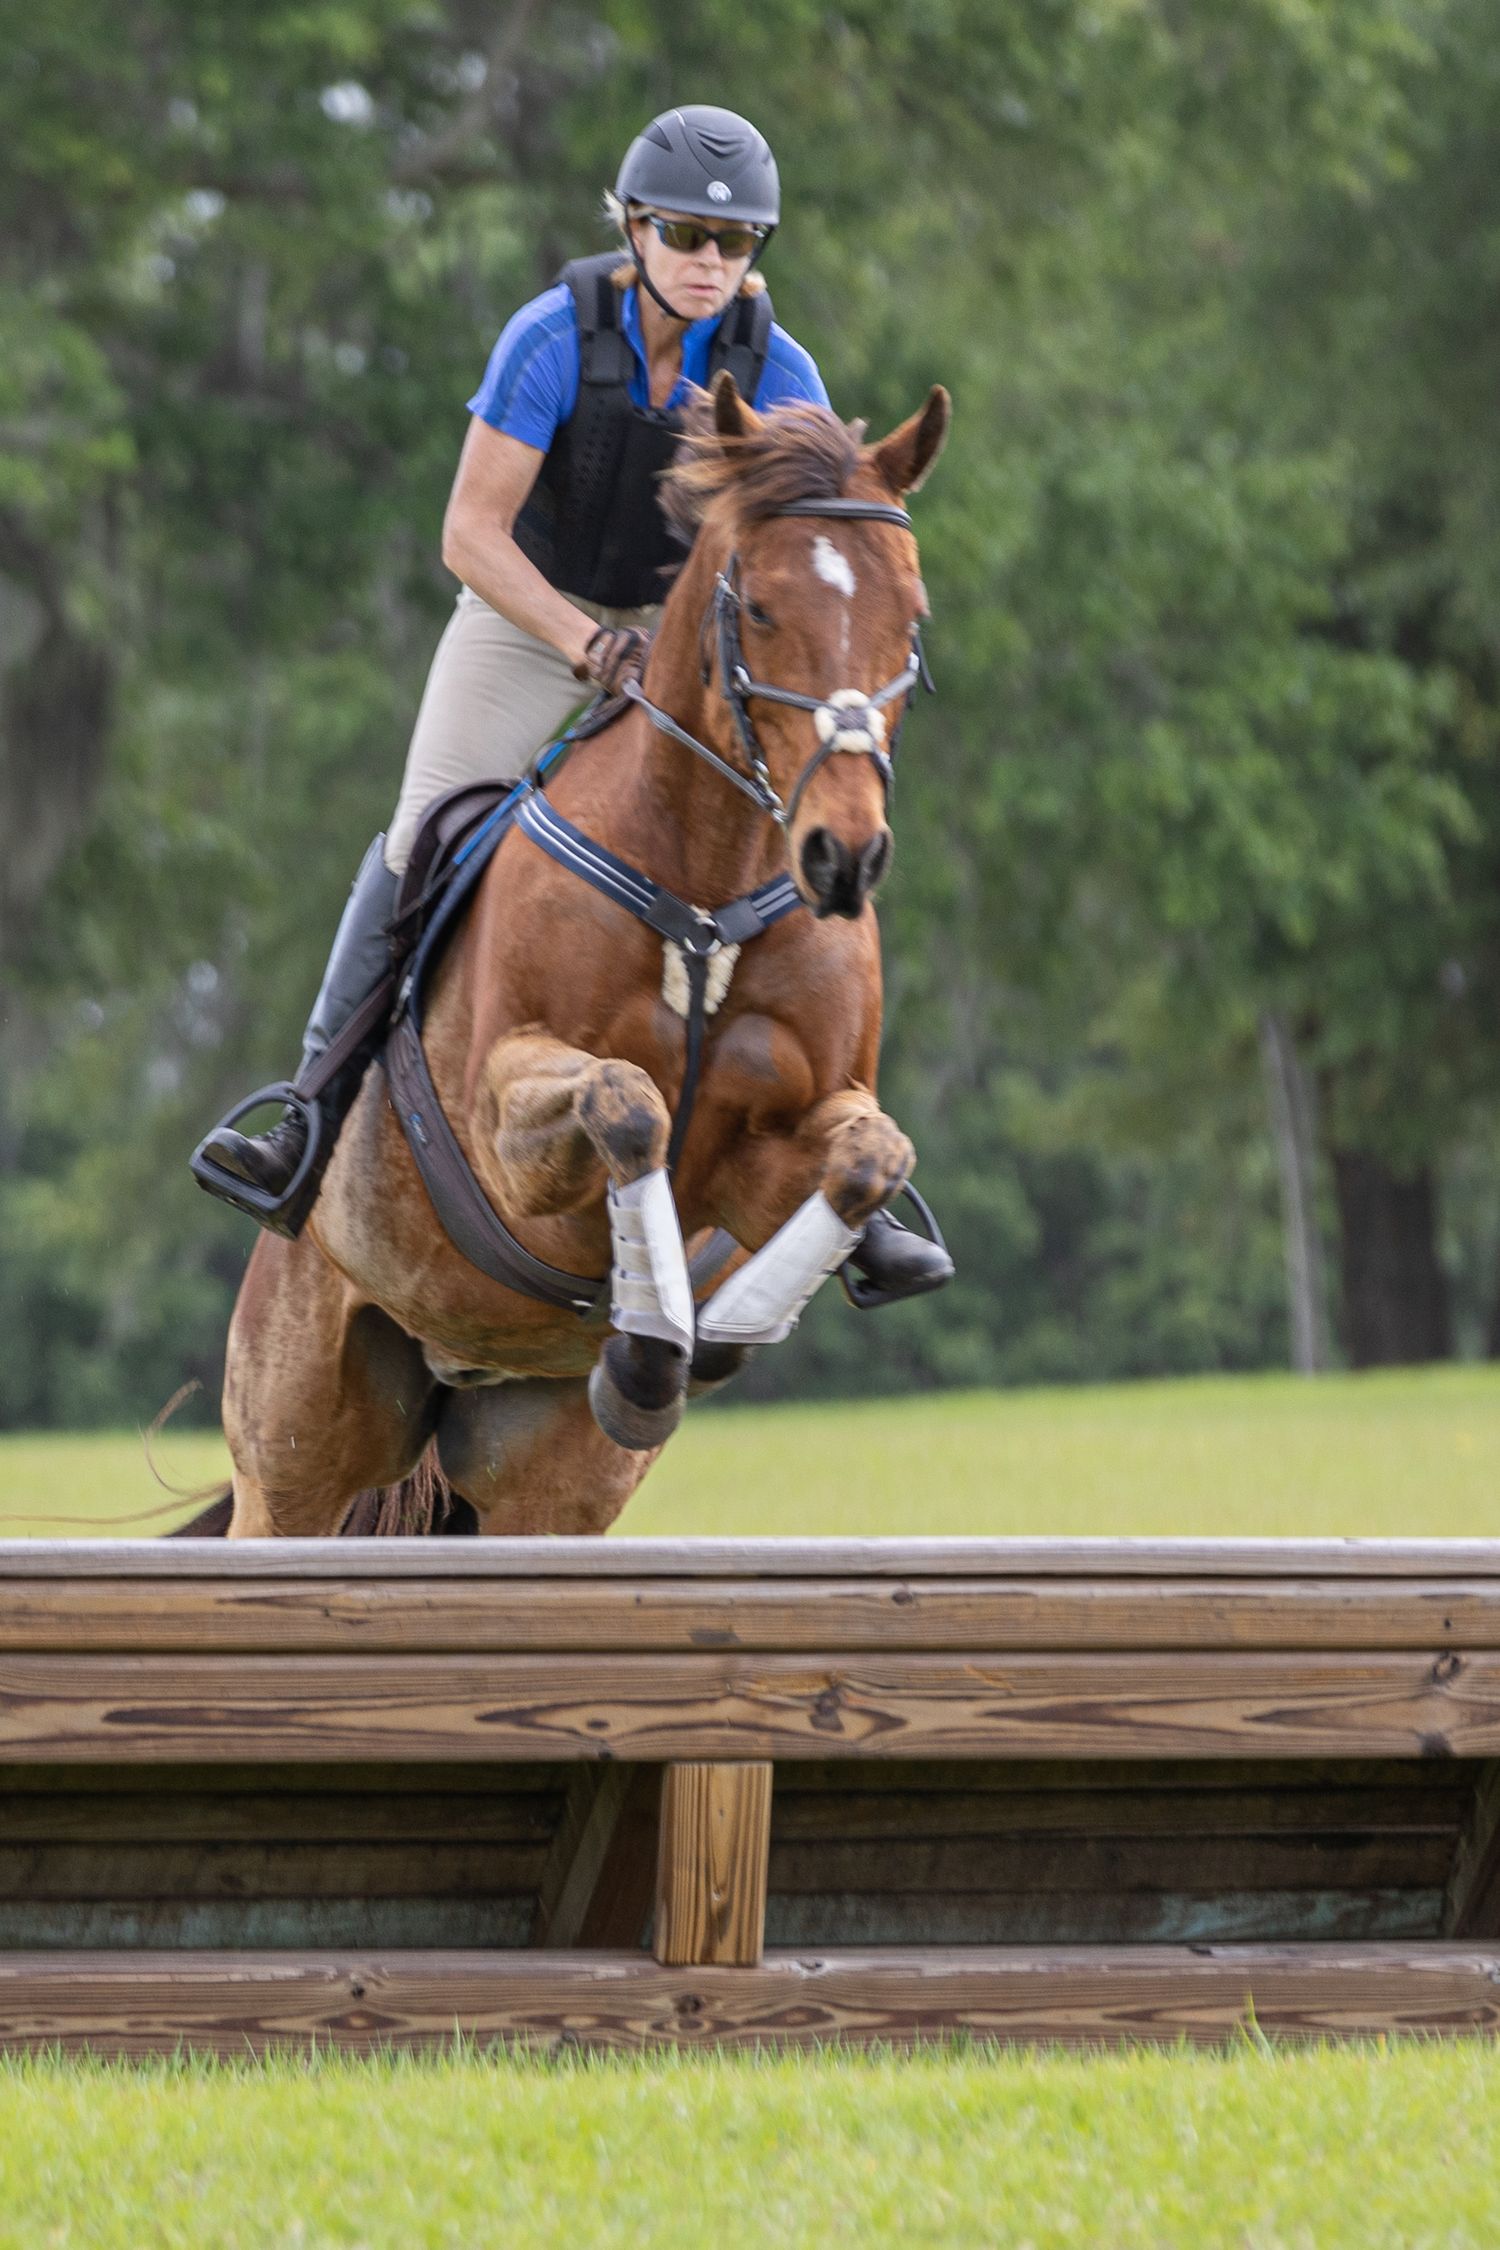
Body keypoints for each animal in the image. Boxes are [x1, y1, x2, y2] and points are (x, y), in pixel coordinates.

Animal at [214, 373, 950, 1537]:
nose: (844, 856)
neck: (706, 892)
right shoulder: (505, 1126)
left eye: (909, 619)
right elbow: (627, 1102)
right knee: (287, 1489)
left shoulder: (784, 1144)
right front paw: (653, 1350)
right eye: (760, 608)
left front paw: (704, 1337)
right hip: (294, 1447)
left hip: (543, 1482)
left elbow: (868, 1158)